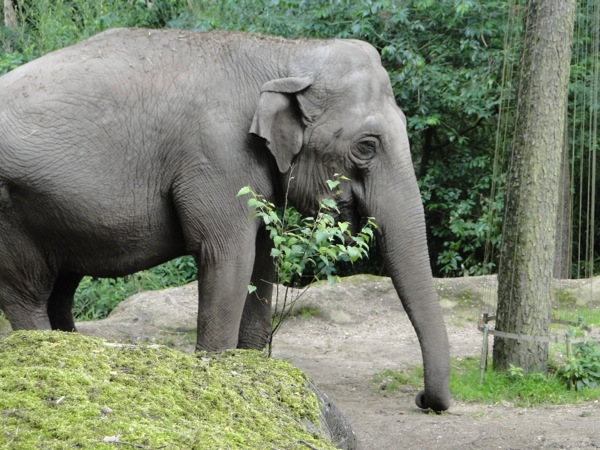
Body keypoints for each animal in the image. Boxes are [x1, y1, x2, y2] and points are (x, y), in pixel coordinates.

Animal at [0, 29, 450, 412]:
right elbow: (228, 256)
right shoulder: (218, 158)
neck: (286, 53)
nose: (421, 400)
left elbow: (263, 259)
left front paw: (252, 366)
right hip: (10, 211)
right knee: (26, 294)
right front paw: (219, 369)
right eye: (366, 147)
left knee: (61, 288)